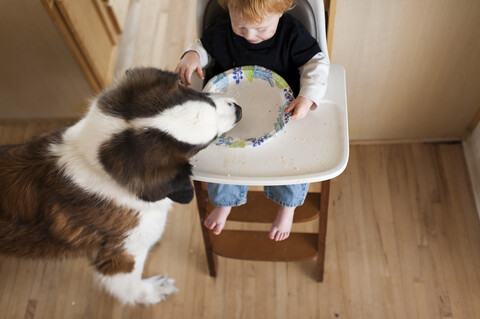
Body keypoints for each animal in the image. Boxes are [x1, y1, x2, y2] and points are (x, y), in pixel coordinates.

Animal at [0, 67, 240, 304]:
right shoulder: (122, 256)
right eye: (205, 143)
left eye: (200, 95)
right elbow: (130, 286)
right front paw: (153, 291)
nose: (239, 110)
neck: (96, 165)